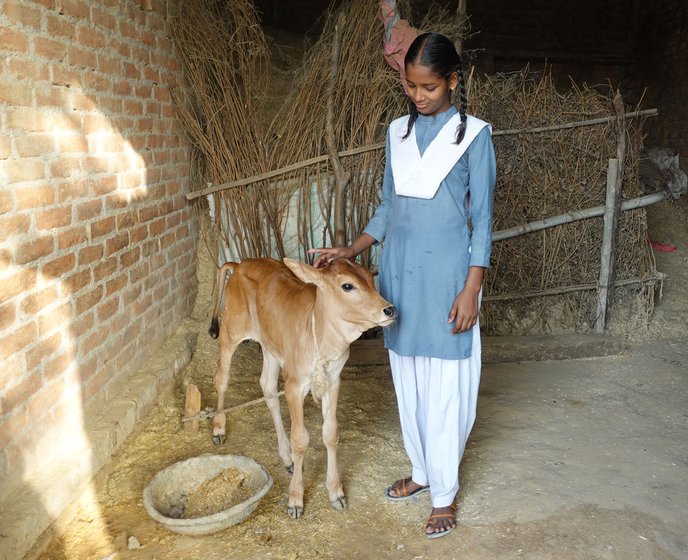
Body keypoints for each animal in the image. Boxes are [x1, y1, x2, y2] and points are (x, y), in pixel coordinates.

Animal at [207, 256, 396, 520]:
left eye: (370, 278)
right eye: (347, 286)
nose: (389, 309)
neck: (322, 335)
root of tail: (241, 263)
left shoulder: (333, 381)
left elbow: (330, 433)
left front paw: (335, 492)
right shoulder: (294, 386)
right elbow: (300, 439)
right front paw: (295, 498)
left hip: (271, 347)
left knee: (267, 388)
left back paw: (287, 458)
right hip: (230, 331)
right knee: (222, 378)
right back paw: (218, 429)